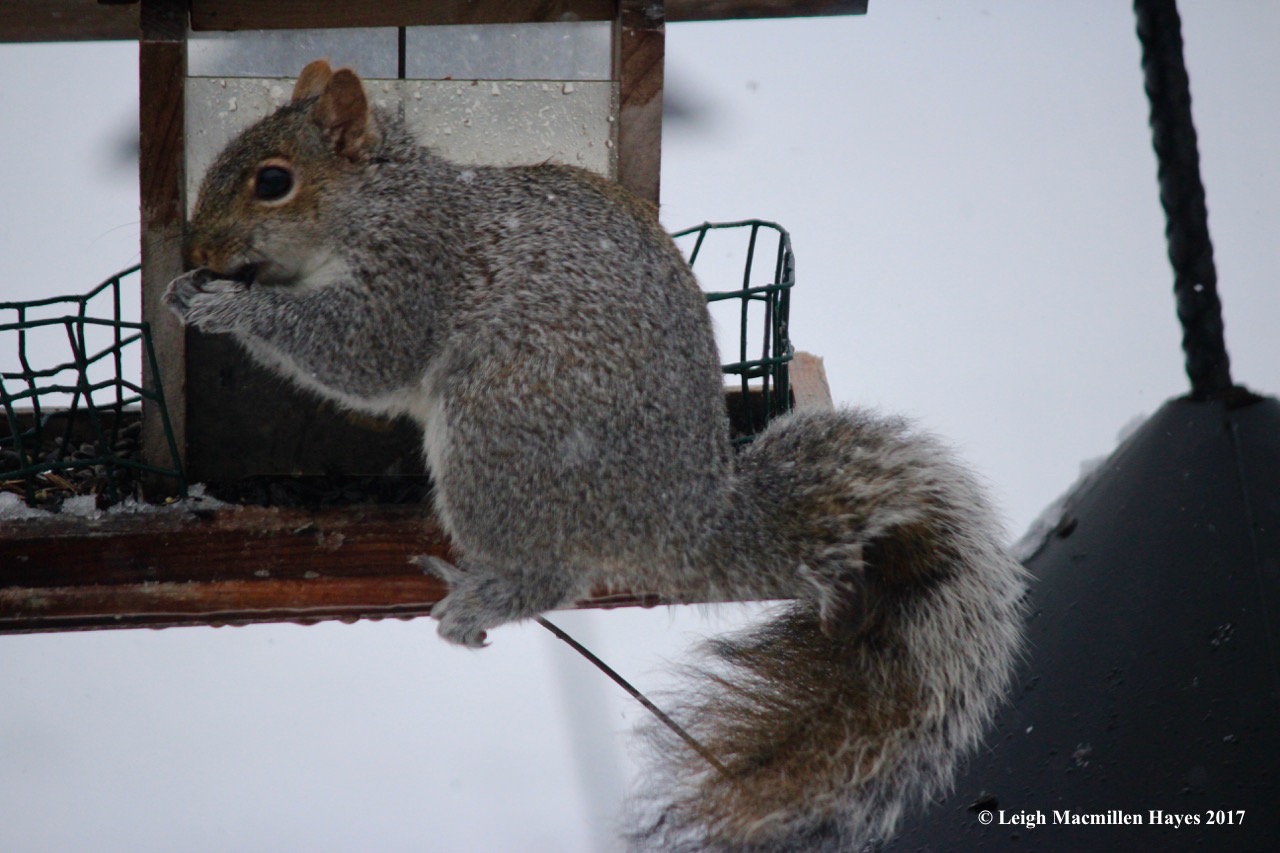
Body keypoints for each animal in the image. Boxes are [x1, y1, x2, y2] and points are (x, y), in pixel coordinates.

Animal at [165, 60, 1028, 850]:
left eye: (274, 181)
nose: (198, 248)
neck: (382, 201)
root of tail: (684, 526)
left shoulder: (413, 275)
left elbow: (359, 352)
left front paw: (227, 305)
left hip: (498, 433)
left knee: (557, 574)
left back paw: (476, 601)